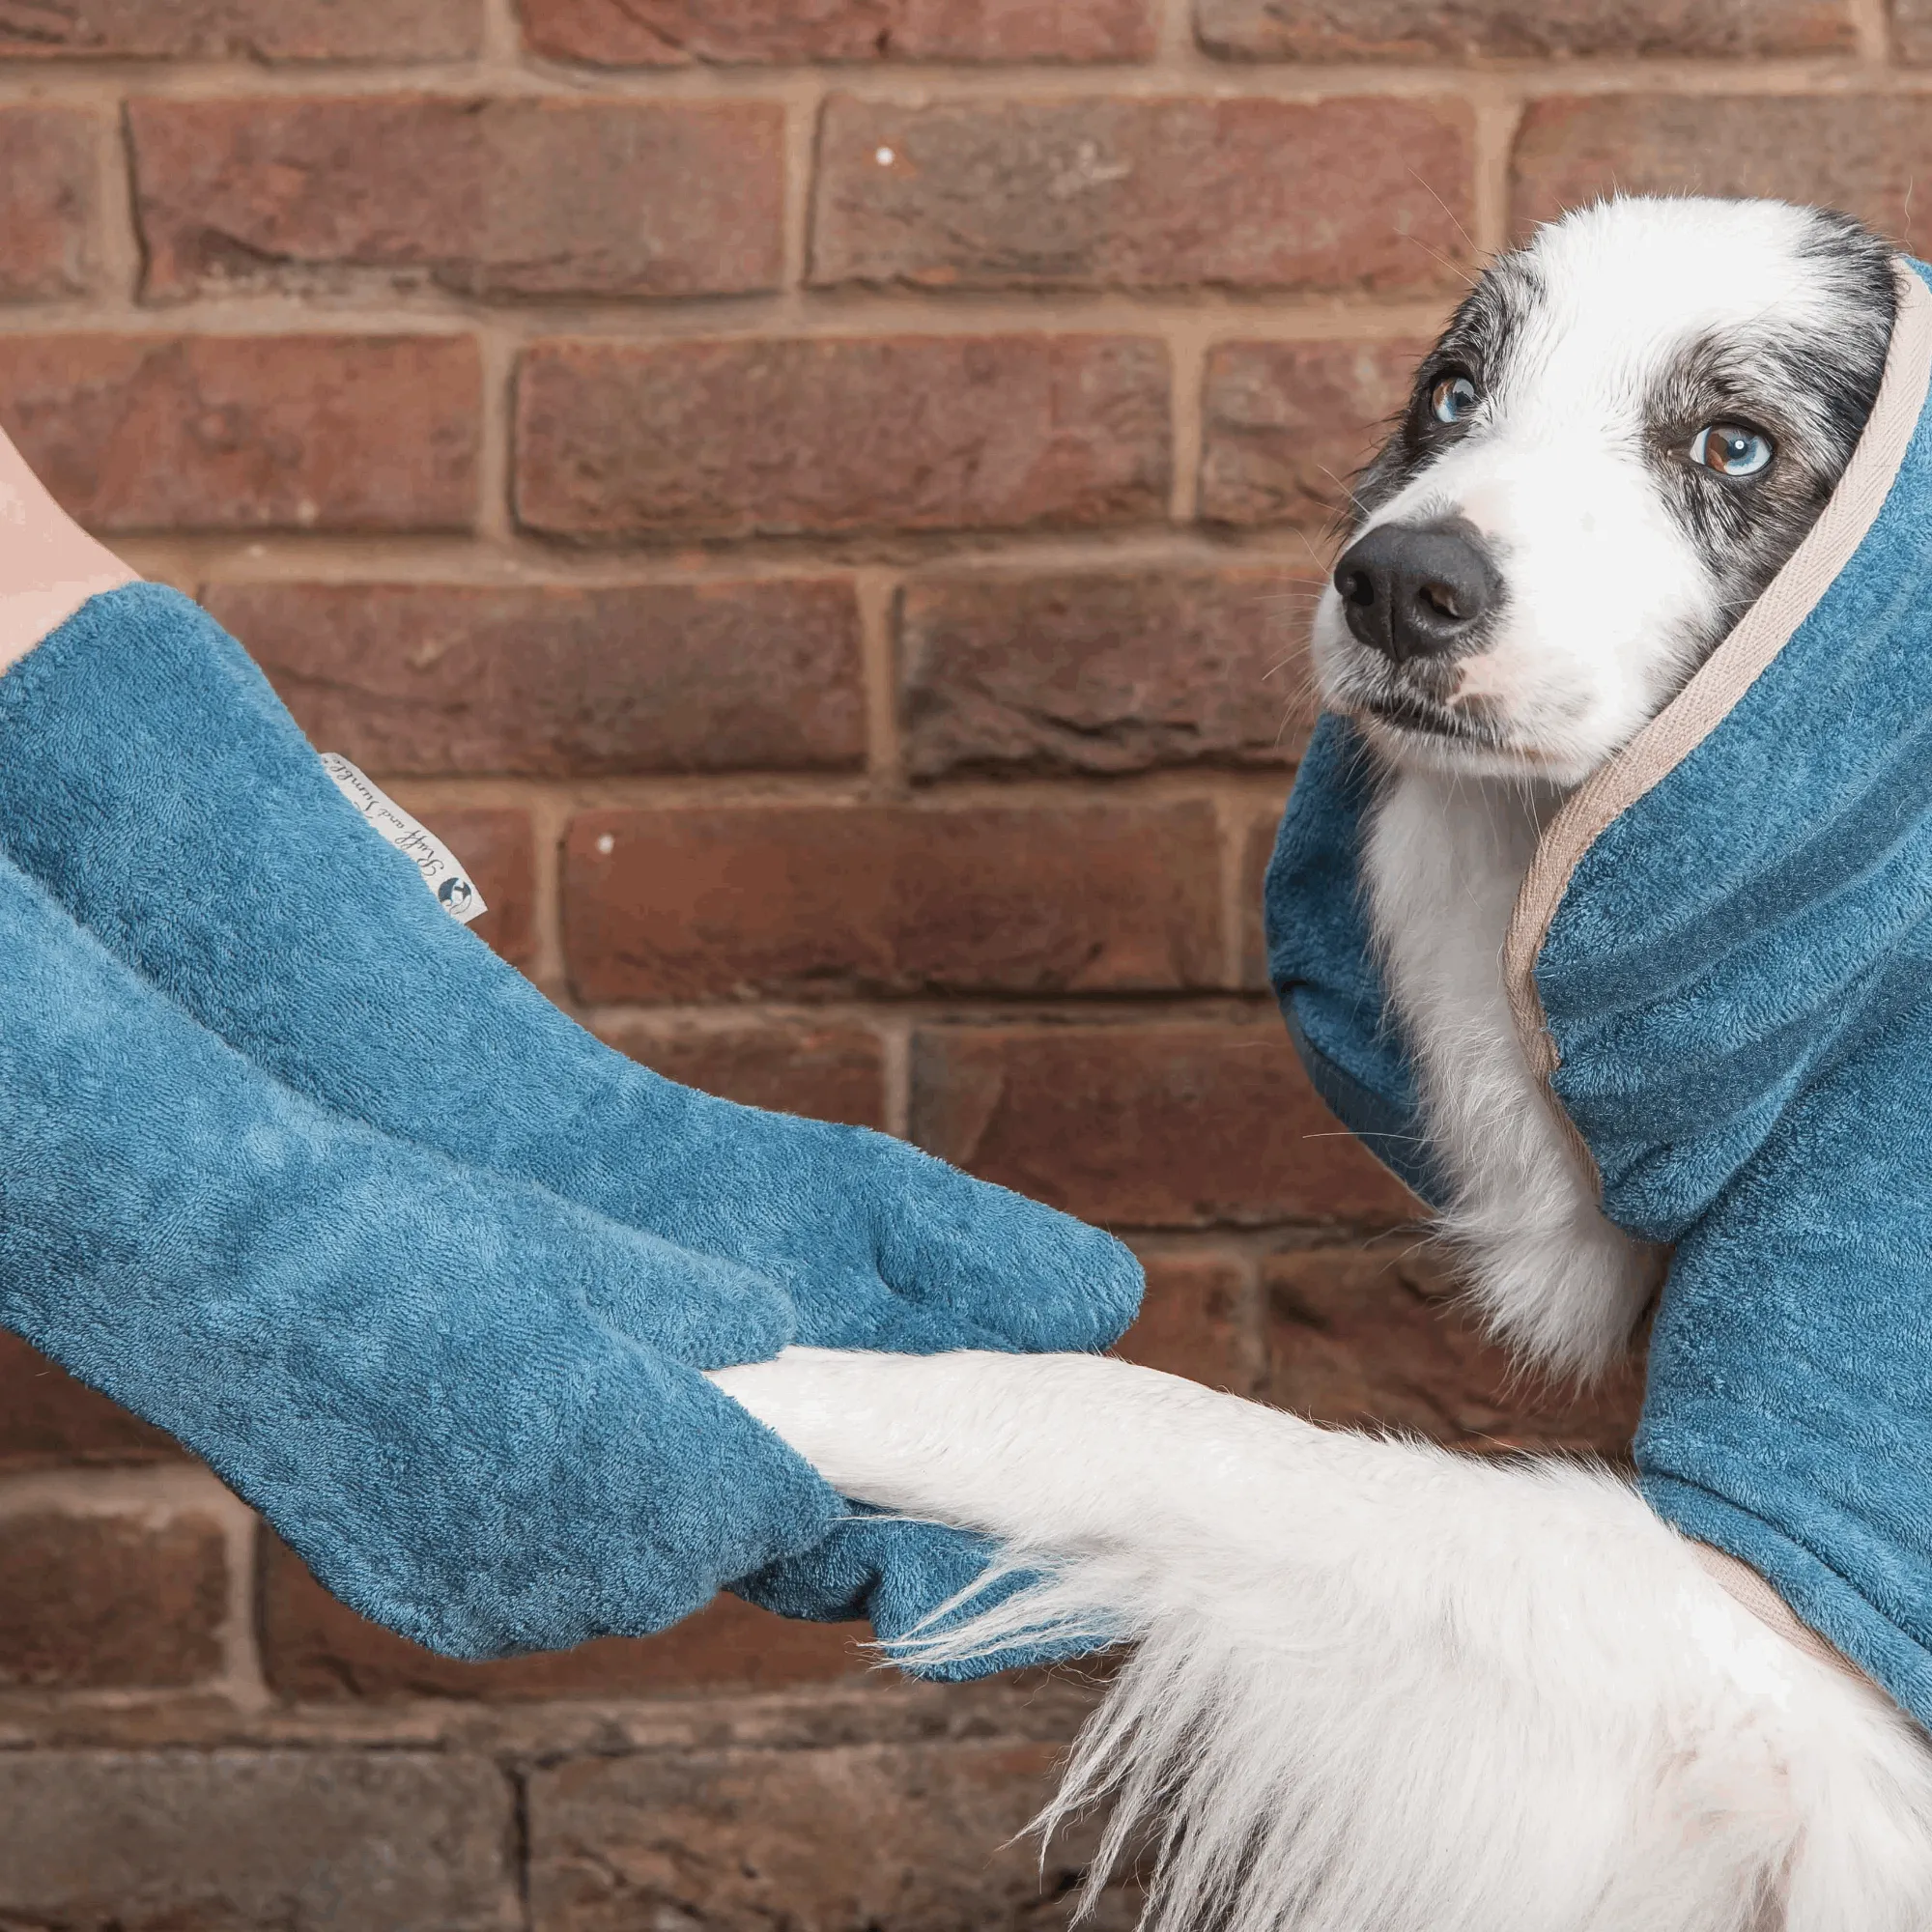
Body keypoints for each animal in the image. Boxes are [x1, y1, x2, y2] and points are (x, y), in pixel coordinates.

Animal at [707, 196, 1932, 1932]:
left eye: (1735, 445)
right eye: (1453, 397)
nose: (1398, 583)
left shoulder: (1791, 1668)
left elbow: (1170, 1429)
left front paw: (777, 1383)